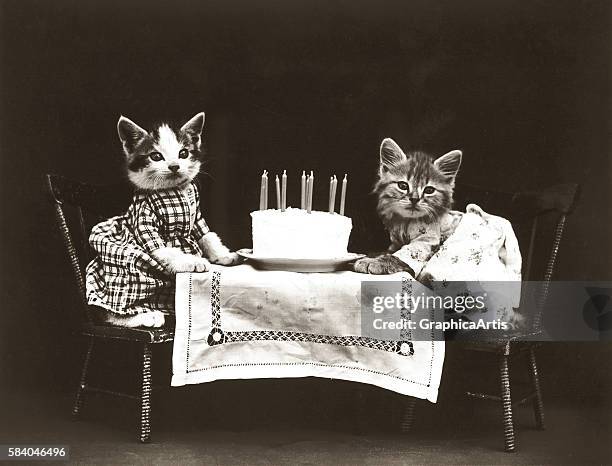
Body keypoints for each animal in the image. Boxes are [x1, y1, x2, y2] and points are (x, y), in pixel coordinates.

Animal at [87, 112, 240, 328]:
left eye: (183, 153)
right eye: (156, 156)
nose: (174, 166)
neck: (173, 190)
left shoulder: (196, 217)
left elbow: (207, 236)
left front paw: (223, 255)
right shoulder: (144, 219)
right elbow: (166, 250)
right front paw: (193, 261)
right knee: (108, 311)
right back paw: (144, 316)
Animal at [352, 138, 462, 276]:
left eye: (429, 190)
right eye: (403, 186)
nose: (414, 199)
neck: (406, 222)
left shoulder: (427, 240)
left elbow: (401, 255)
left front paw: (375, 262)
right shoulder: (396, 242)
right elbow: (388, 251)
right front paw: (372, 256)